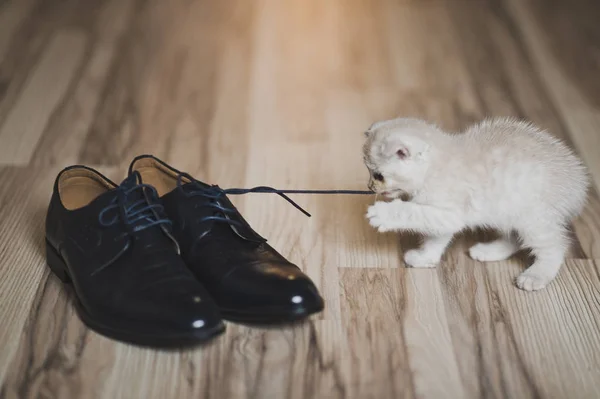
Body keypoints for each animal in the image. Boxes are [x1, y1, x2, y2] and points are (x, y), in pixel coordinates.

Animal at [364, 115, 588, 290]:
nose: (370, 186)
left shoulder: (449, 213)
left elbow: (413, 212)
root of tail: (578, 182)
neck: (434, 167)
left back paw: (536, 275)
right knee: (514, 238)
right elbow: (435, 239)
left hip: (533, 219)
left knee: (555, 247)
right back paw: (489, 251)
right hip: (509, 213)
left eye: (378, 175)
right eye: (369, 171)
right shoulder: (443, 219)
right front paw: (425, 258)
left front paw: (384, 214)